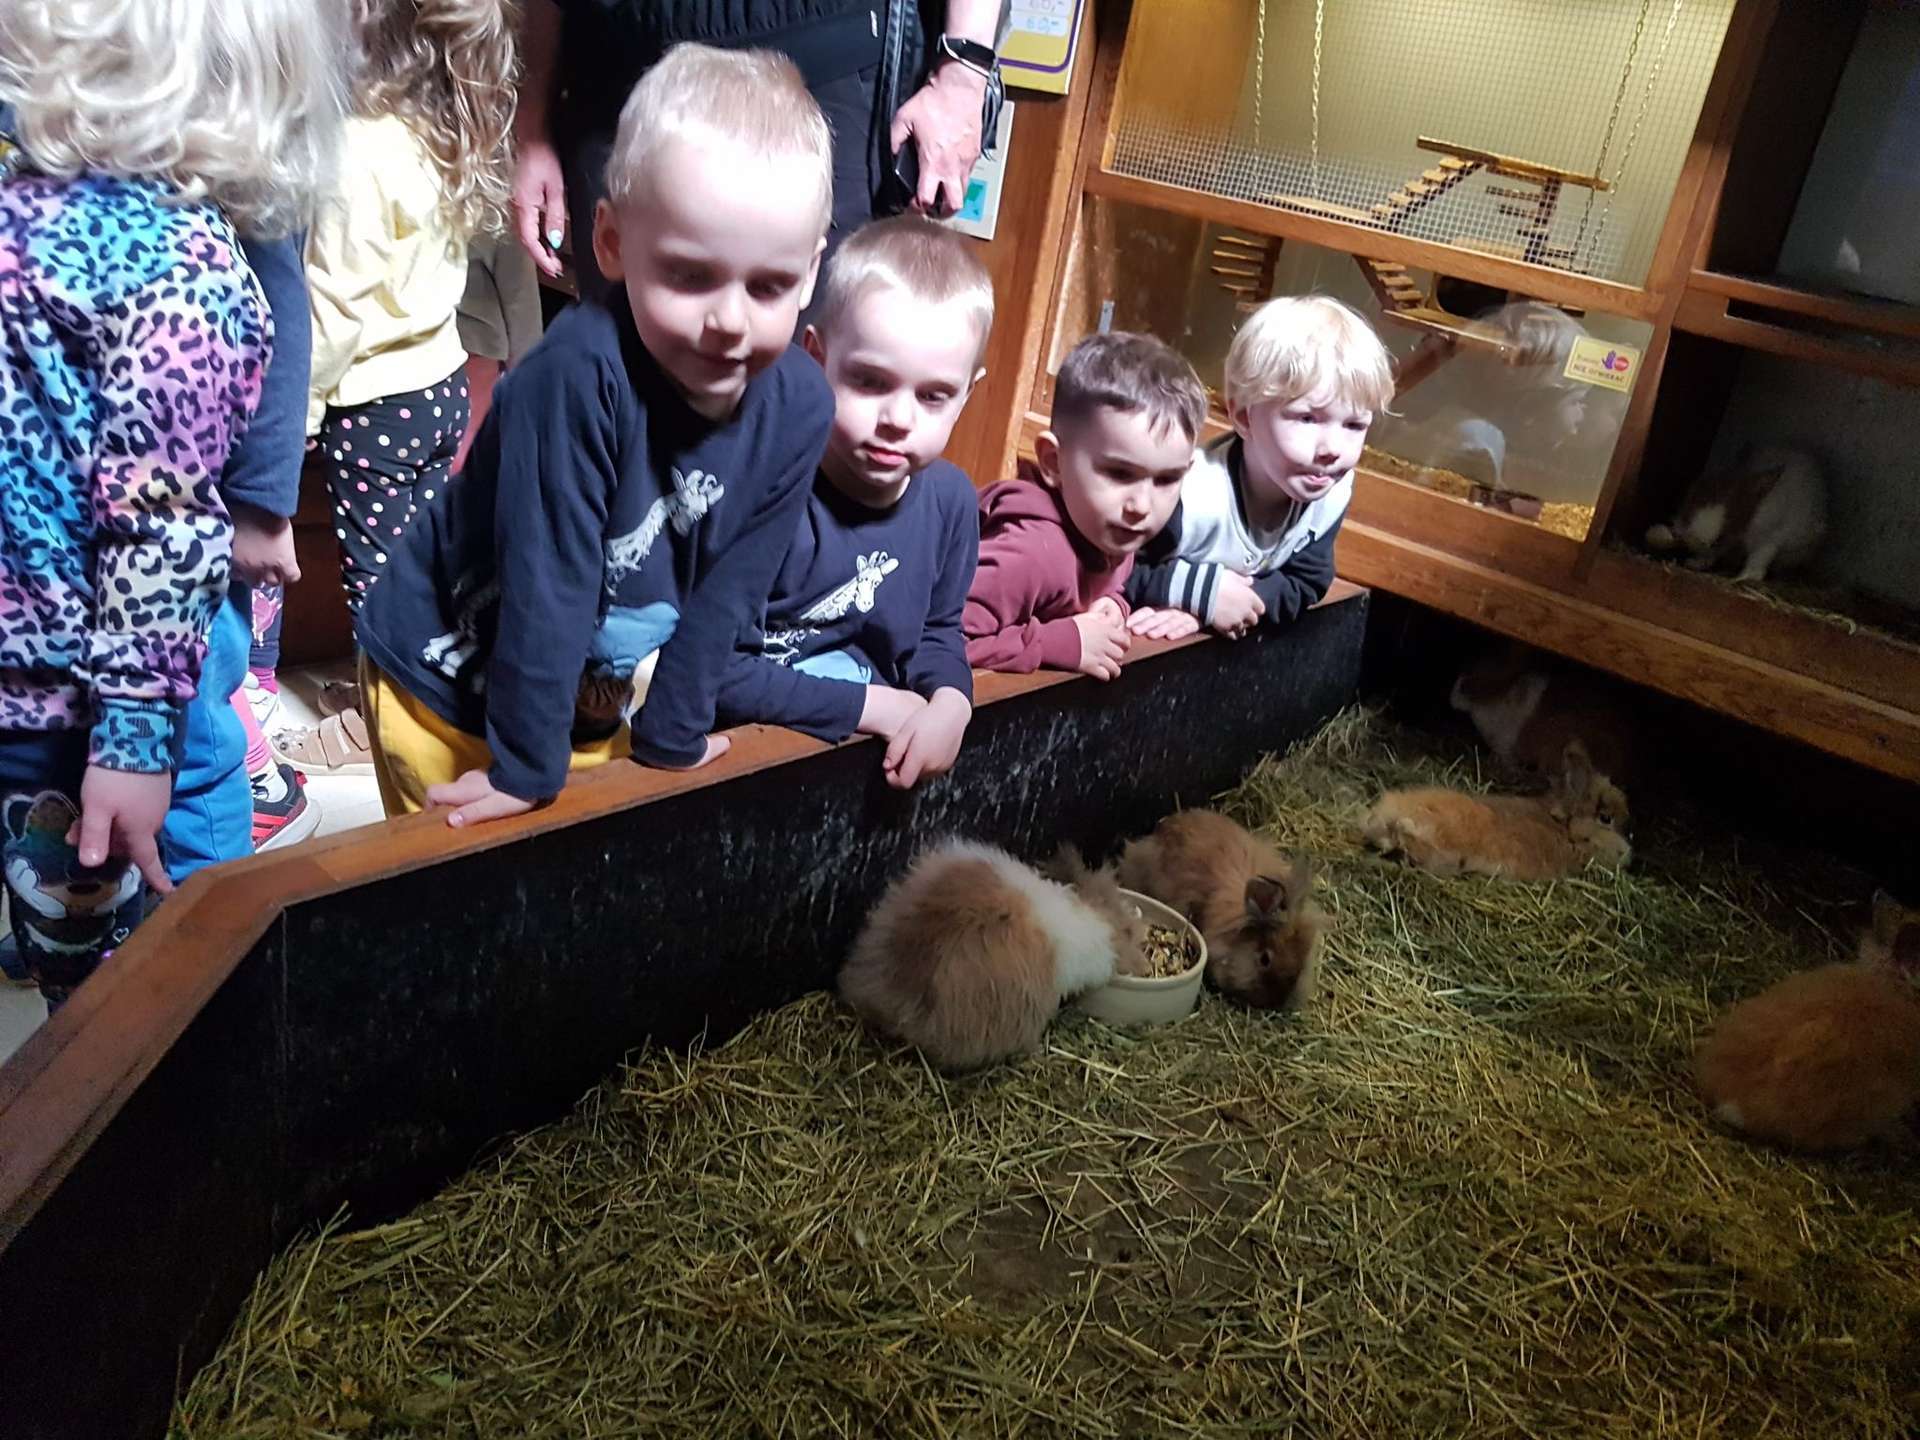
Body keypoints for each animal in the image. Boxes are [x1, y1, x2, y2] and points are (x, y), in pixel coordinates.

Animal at [1643, 444, 1826, 582]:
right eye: (1695, 494)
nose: (1682, 533)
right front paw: (1694, 563)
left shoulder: (1770, 538)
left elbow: (1759, 558)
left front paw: (1745, 577)